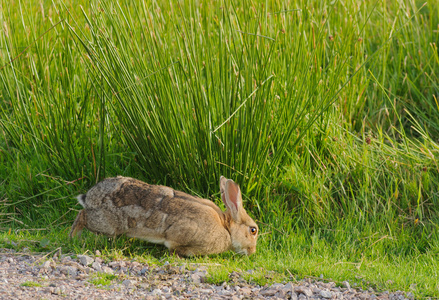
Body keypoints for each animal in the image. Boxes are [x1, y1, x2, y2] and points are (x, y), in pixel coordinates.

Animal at [69, 176, 260, 255]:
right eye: (253, 230)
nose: (252, 252)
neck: (226, 228)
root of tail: (91, 196)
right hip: (104, 223)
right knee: (81, 215)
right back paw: (74, 238)